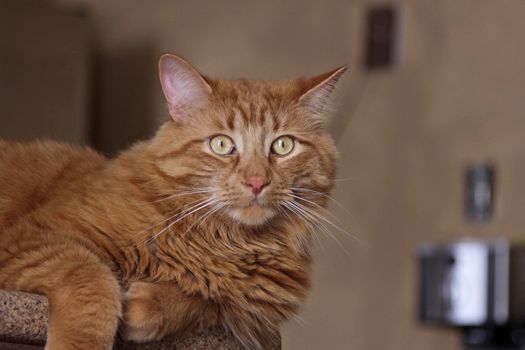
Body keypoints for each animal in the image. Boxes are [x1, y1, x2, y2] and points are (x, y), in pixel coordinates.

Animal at [0, 53, 346, 348]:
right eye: (222, 145)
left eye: (283, 146)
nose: (257, 182)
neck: (224, 240)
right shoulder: (34, 239)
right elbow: (92, 280)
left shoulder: (247, 309)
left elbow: (206, 300)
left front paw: (149, 306)